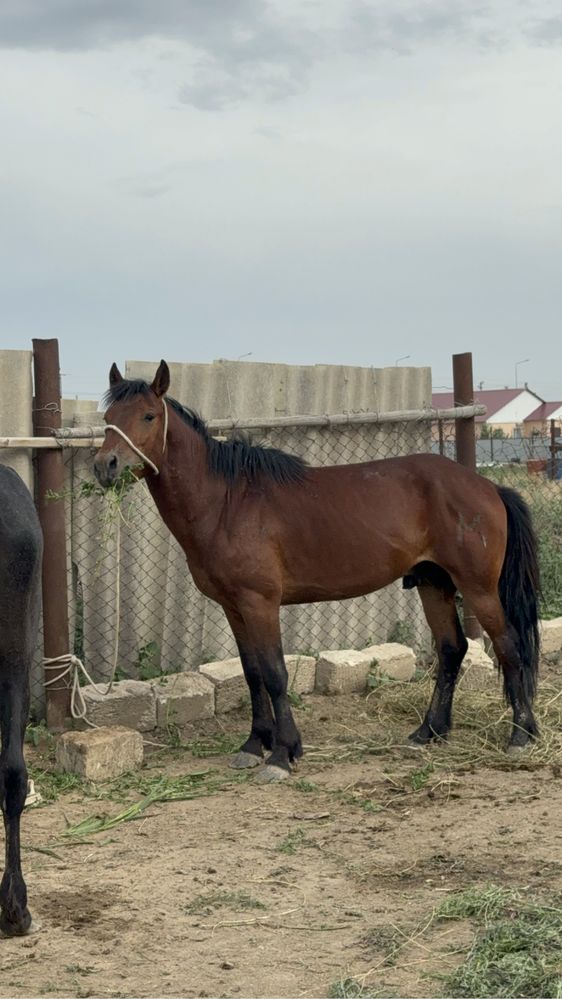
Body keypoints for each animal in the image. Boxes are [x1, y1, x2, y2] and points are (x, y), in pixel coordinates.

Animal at [95, 360, 540, 780]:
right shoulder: (233, 607)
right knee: (451, 649)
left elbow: (274, 674)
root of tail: (487, 486)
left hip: (478, 588)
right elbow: (251, 673)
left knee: (508, 646)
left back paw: (520, 735)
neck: (226, 502)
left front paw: (282, 754)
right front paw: (253, 745)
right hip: (434, 583)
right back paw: (429, 731)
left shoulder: (260, 604)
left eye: (149, 415)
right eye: (108, 417)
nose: (106, 466)